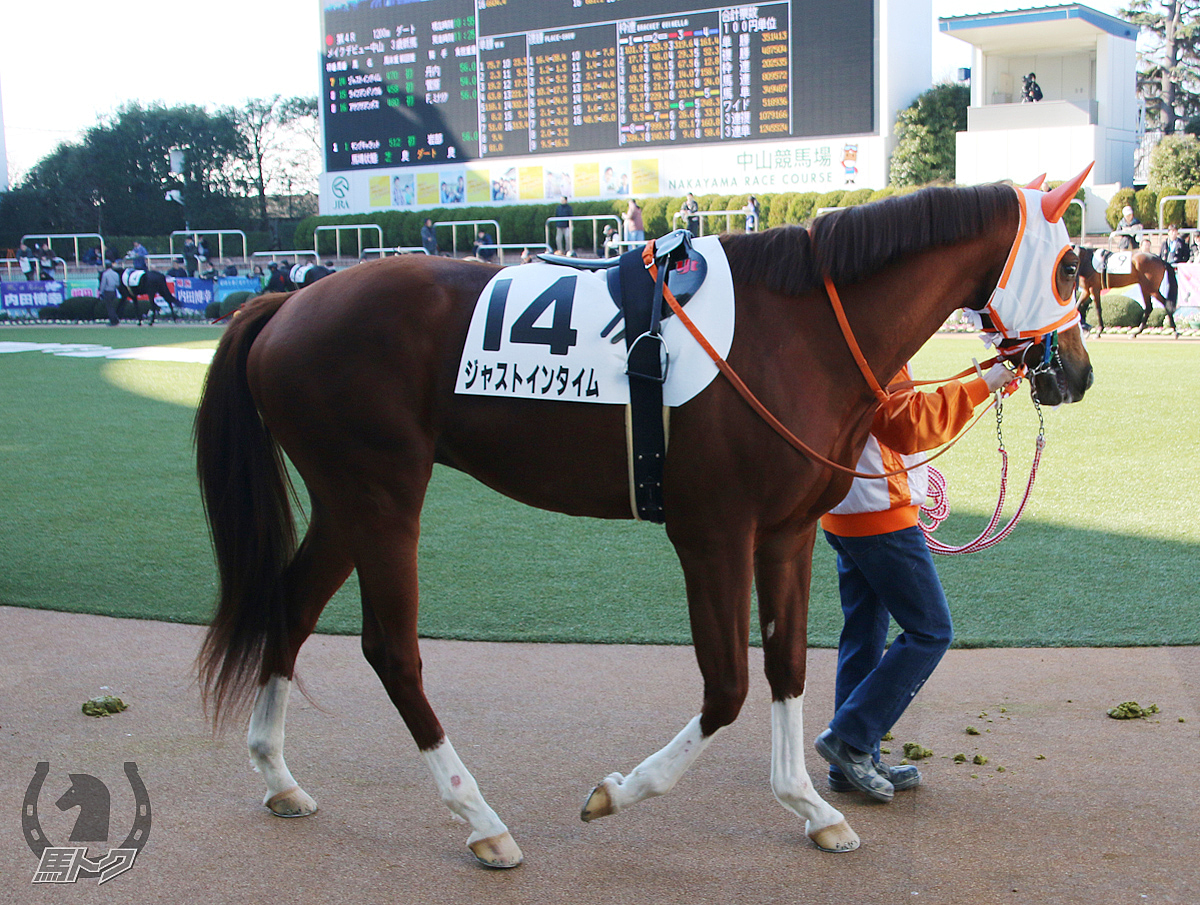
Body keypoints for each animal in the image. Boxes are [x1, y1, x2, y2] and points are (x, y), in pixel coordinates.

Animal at [192, 177, 1094, 868]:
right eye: (1068, 265)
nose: (1078, 373)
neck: (795, 329)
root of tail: (284, 303)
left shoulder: (786, 532)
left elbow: (788, 667)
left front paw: (810, 804)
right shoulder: (712, 532)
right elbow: (728, 684)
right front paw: (619, 792)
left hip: (347, 500)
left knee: (292, 606)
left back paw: (279, 777)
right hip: (381, 496)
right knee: (392, 651)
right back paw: (481, 820)